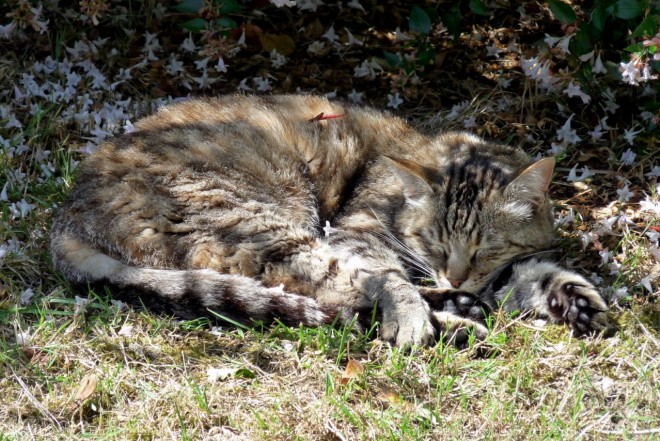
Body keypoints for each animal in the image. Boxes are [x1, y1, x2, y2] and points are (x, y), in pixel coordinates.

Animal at [49, 94, 612, 346]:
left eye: (486, 247)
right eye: (433, 240)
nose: (454, 276)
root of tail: (68, 211)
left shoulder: (498, 266)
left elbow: (529, 272)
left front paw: (572, 298)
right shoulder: (356, 231)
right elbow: (389, 277)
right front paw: (416, 315)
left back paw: (457, 309)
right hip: (266, 225)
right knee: (341, 298)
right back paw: (448, 322)